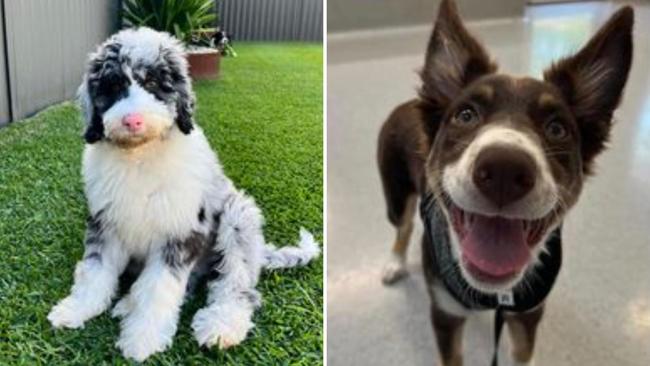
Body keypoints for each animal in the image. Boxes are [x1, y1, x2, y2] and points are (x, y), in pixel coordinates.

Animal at [46, 27, 318, 362]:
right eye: (114, 86)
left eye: (153, 83)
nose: (132, 120)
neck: (140, 156)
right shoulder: (105, 222)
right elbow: (94, 271)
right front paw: (76, 308)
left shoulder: (181, 233)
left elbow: (159, 289)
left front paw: (142, 339)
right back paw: (128, 304)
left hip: (237, 217)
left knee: (236, 285)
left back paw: (220, 326)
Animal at [378, 1, 632, 364]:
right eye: (466, 115)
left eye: (557, 129)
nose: (503, 171)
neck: (495, 293)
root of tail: (410, 102)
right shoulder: (444, 313)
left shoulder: (529, 312)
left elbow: (523, 352)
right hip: (395, 193)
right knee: (404, 226)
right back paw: (394, 263)